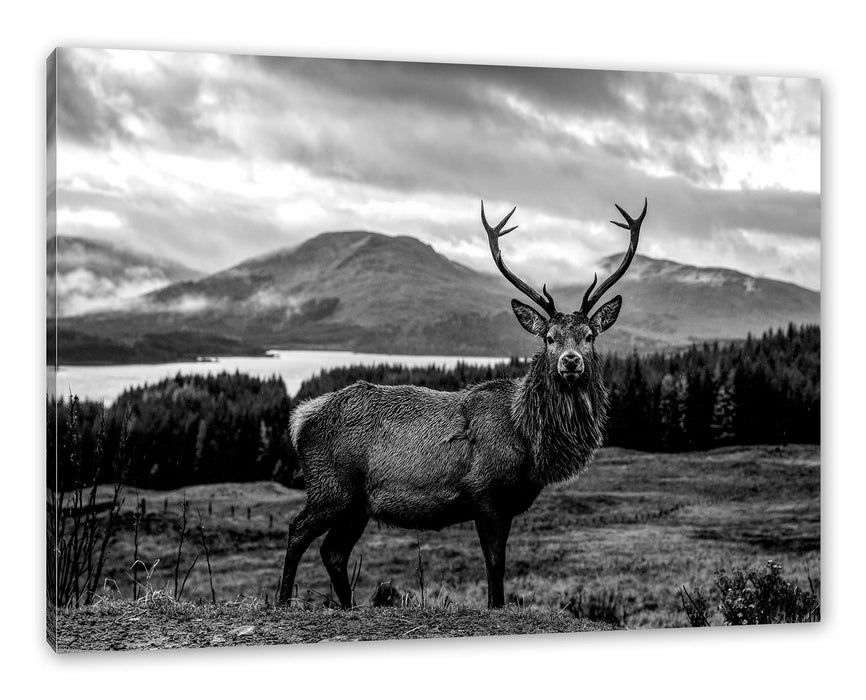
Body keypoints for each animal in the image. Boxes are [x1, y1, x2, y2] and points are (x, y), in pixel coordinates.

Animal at [277, 198, 647, 609]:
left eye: (589, 335)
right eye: (549, 337)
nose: (570, 361)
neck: (529, 442)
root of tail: (300, 419)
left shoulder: (506, 502)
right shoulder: (485, 491)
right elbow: (495, 564)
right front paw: (495, 605)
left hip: (356, 504)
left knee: (333, 552)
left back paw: (348, 606)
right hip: (330, 486)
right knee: (297, 530)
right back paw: (281, 600)